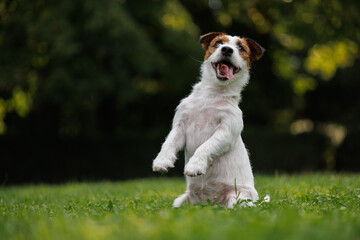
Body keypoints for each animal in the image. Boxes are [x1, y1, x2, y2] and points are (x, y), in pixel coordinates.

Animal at [152, 31, 264, 208]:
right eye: (218, 43)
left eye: (241, 47)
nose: (227, 50)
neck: (212, 95)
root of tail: (210, 204)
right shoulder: (180, 126)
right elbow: (168, 142)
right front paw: (161, 161)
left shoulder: (226, 132)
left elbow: (205, 146)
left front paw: (194, 165)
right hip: (181, 202)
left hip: (238, 199)